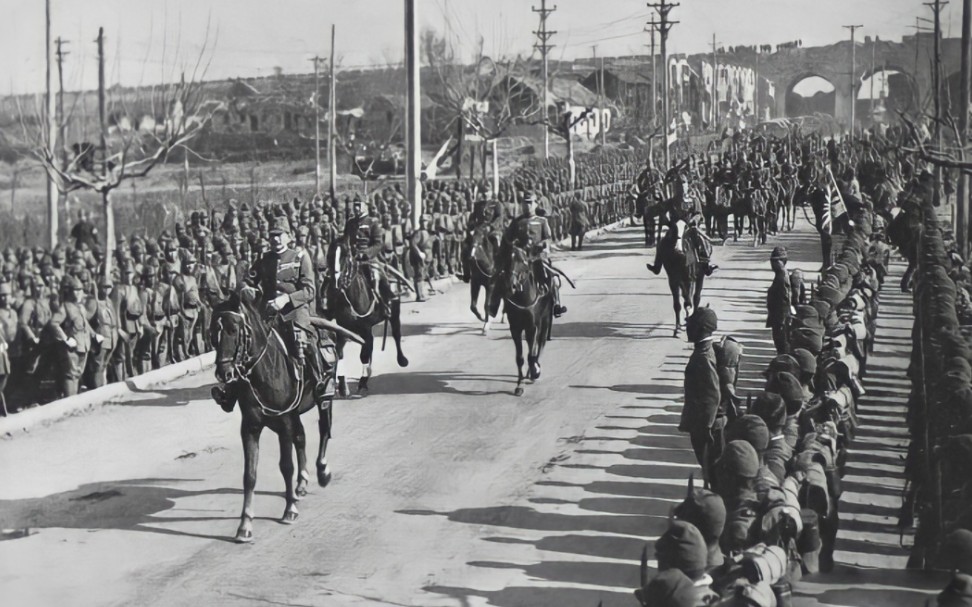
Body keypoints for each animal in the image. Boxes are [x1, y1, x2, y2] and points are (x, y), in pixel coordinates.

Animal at [211, 288, 336, 544]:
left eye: (233, 330)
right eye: (211, 333)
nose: (224, 372)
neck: (265, 372)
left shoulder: (285, 422)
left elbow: (286, 466)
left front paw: (290, 510)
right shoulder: (250, 427)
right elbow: (249, 475)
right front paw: (245, 524)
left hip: (323, 400)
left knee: (324, 430)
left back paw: (322, 471)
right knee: (302, 437)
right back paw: (302, 483)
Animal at [322, 216, 406, 396]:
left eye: (345, 255)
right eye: (330, 254)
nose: (335, 283)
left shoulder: (365, 327)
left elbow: (364, 355)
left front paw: (361, 383)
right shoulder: (343, 328)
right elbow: (340, 353)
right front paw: (342, 385)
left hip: (394, 309)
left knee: (395, 333)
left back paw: (402, 360)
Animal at [502, 245, 556, 396]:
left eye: (522, 261)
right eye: (507, 260)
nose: (511, 286)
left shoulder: (532, 326)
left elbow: (531, 355)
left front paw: (535, 371)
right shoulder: (515, 328)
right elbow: (520, 358)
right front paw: (519, 385)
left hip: (545, 320)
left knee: (541, 342)